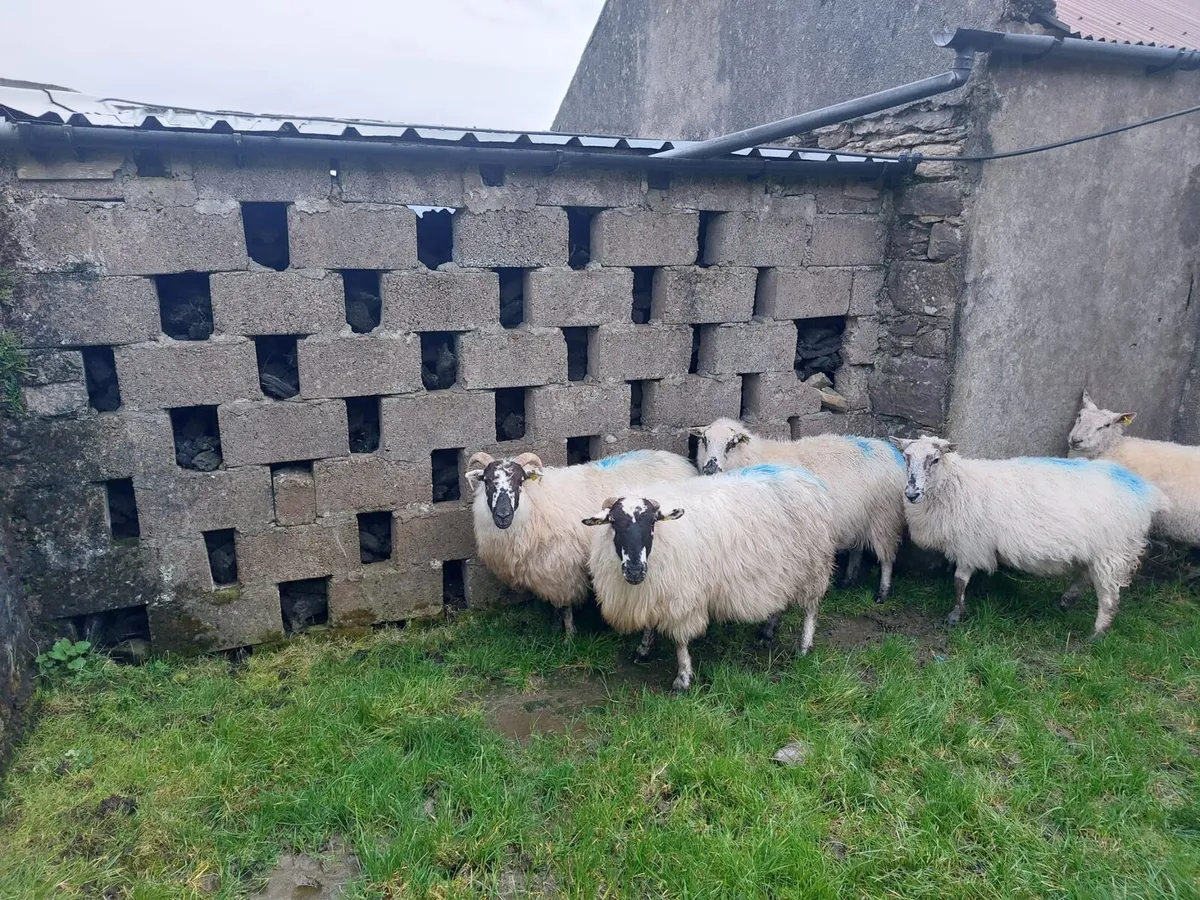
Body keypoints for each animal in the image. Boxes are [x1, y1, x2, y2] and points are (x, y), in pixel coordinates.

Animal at [466, 448, 697, 637]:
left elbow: (565, 606)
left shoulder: (562, 568)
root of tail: (681, 460)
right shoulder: (546, 570)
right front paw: (554, 627)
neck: (535, 504)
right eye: (487, 481)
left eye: (520, 481)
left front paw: (569, 636)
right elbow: (555, 605)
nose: (503, 515)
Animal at [582, 464, 837, 691]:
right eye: (613, 523)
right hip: (782, 569)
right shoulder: (654, 590)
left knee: (811, 610)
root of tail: (804, 475)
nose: (635, 570)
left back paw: (804, 647)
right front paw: (643, 650)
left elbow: (680, 642)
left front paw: (683, 679)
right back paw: (766, 633)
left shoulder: (682, 597)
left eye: (652, 522)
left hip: (813, 567)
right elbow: (648, 625)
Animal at [692, 417, 905, 605]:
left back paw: (882, 593)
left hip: (885, 518)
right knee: (857, 548)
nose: (710, 469)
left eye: (732, 443)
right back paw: (848, 580)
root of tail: (888, 448)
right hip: (859, 517)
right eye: (704, 440)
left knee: (887, 560)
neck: (755, 456)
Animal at [893, 435, 1166, 638]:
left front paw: (955, 615)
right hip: (1097, 552)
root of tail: (1144, 490)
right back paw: (1065, 602)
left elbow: (959, 581)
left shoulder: (970, 544)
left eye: (935, 459)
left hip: (1112, 551)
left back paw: (1095, 636)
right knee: (1085, 577)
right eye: (906, 457)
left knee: (1109, 599)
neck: (957, 484)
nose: (911, 493)